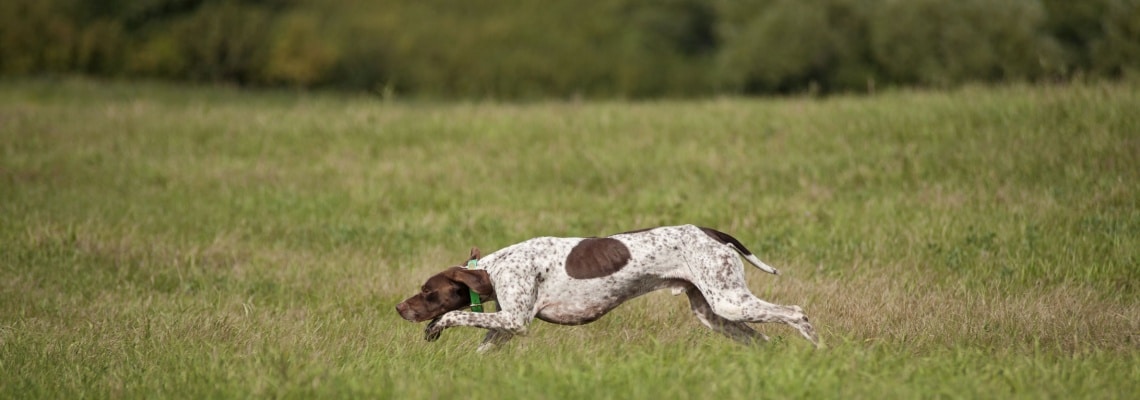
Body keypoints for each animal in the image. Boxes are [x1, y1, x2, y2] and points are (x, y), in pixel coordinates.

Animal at [396, 224, 816, 353]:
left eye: (428, 291)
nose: (399, 308)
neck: (493, 269)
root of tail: (712, 232)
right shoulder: (506, 326)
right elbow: (481, 349)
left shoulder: (515, 321)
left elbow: (454, 315)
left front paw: (434, 328)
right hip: (714, 312)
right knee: (763, 340)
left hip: (729, 301)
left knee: (797, 314)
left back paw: (818, 350)